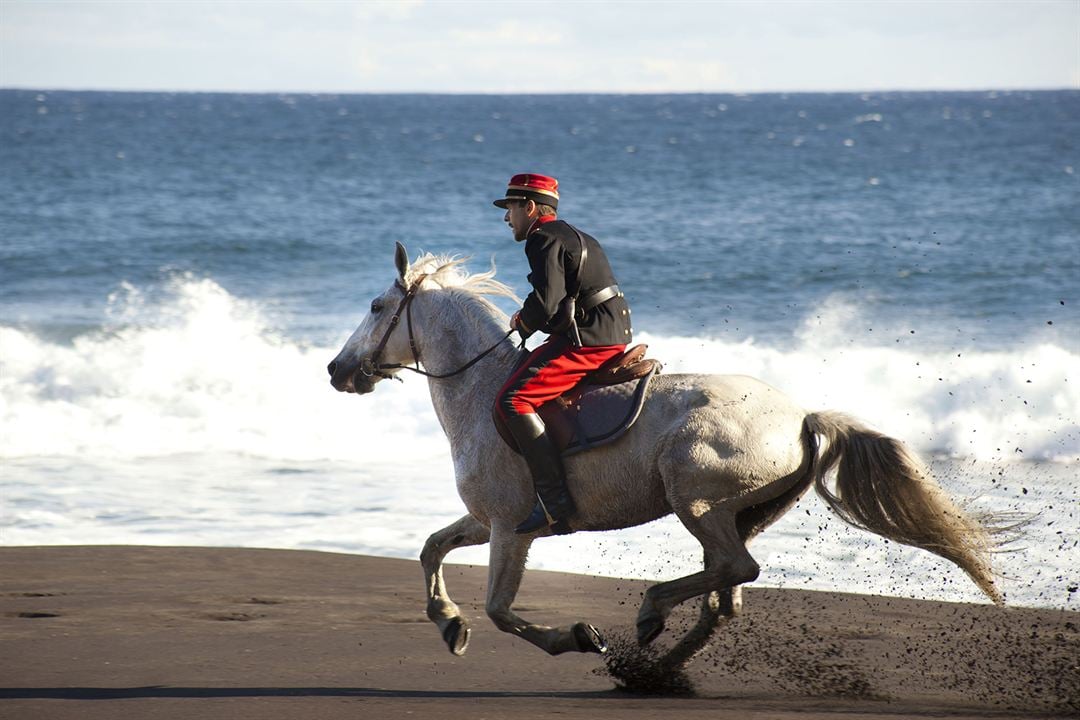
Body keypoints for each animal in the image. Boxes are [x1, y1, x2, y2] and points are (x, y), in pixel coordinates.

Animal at [326, 245, 1002, 669]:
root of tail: (800, 417)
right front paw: (447, 621)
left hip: (695, 498)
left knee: (735, 572)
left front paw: (576, 637)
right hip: (735, 514)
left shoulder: (510, 528)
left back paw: (651, 616)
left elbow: (500, 609)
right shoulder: (485, 520)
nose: (337, 370)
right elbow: (431, 548)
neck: (480, 386)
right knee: (725, 593)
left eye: (377, 308)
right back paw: (655, 668)